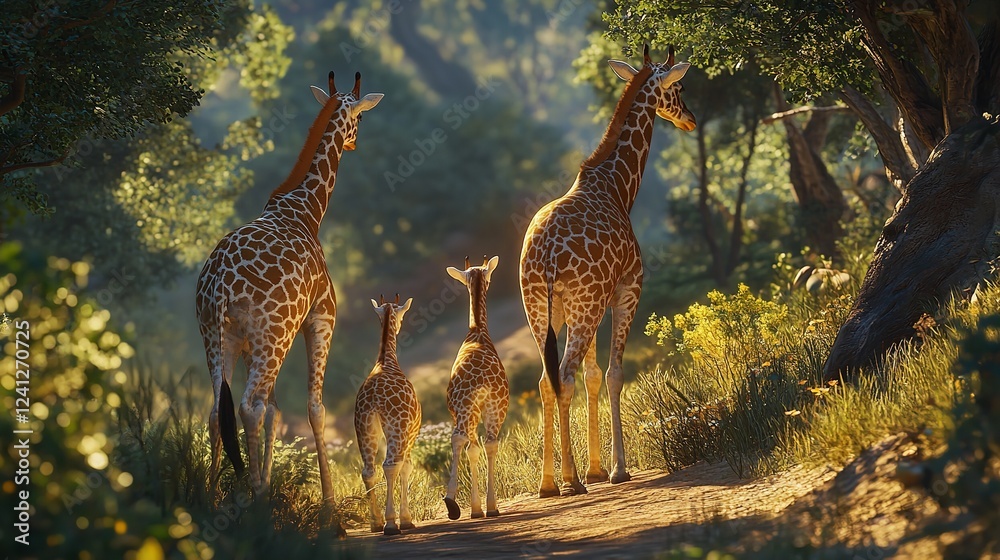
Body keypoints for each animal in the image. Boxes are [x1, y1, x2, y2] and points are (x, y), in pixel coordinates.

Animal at [196, 71, 383, 505]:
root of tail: (219, 284)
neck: (306, 210)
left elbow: (276, 410)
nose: (354, 142)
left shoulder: (253, 339)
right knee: (249, 406)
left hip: (219, 335)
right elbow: (315, 407)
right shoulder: (321, 317)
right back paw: (254, 497)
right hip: (272, 336)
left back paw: (214, 496)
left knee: (219, 409)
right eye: (361, 117)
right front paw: (330, 505)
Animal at [355, 294, 422, 535]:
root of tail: (374, 399)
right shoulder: (412, 431)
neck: (386, 361)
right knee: (390, 465)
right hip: (397, 427)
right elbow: (406, 466)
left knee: (368, 470)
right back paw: (391, 524)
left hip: (364, 429)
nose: (401, 325)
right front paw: (406, 519)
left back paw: (376, 522)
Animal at [443, 256, 510, 520]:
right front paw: (477, 508)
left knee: (465, 439)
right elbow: (475, 449)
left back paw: (457, 503)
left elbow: (472, 449)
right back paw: (487, 506)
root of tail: (481, 380)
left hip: (472, 408)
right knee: (486, 442)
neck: (477, 331)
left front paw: (475, 508)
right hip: (490, 406)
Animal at [519, 44, 695, 497]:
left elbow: (593, 375)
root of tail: (545, 258)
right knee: (562, 375)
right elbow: (615, 374)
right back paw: (570, 481)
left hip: (541, 309)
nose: (690, 118)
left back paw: (548, 483)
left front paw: (598, 469)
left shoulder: (592, 302)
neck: (618, 187)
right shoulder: (627, 289)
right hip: (582, 306)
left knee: (547, 379)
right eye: (679, 88)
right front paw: (617, 469)